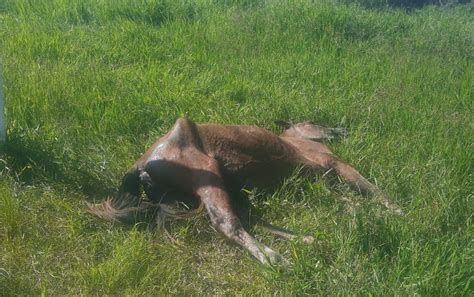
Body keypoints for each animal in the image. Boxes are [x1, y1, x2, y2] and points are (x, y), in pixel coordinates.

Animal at [87, 117, 402, 264]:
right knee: (227, 223)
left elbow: (348, 199)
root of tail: (142, 163)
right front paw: (397, 210)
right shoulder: (335, 165)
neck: (296, 142)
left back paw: (307, 242)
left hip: (219, 187)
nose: (342, 130)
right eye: (312, 122)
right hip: (208, 177)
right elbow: (368, 187)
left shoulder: (325, 179)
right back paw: (276, 260)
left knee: (247, 219)